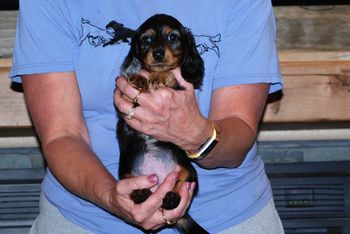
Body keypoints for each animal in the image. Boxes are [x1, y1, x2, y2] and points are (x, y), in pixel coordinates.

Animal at [117, 14, 208, 234]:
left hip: (188, 170)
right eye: (146, 40)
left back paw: (172, 197)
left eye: (172, 37)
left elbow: (170, 76)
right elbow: (129, 89)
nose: (158, 53)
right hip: (124, 171)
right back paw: (140, 193)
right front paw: (139, 79)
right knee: (131, 182)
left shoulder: (179, 89)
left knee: (182, 181)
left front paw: (159, 76)